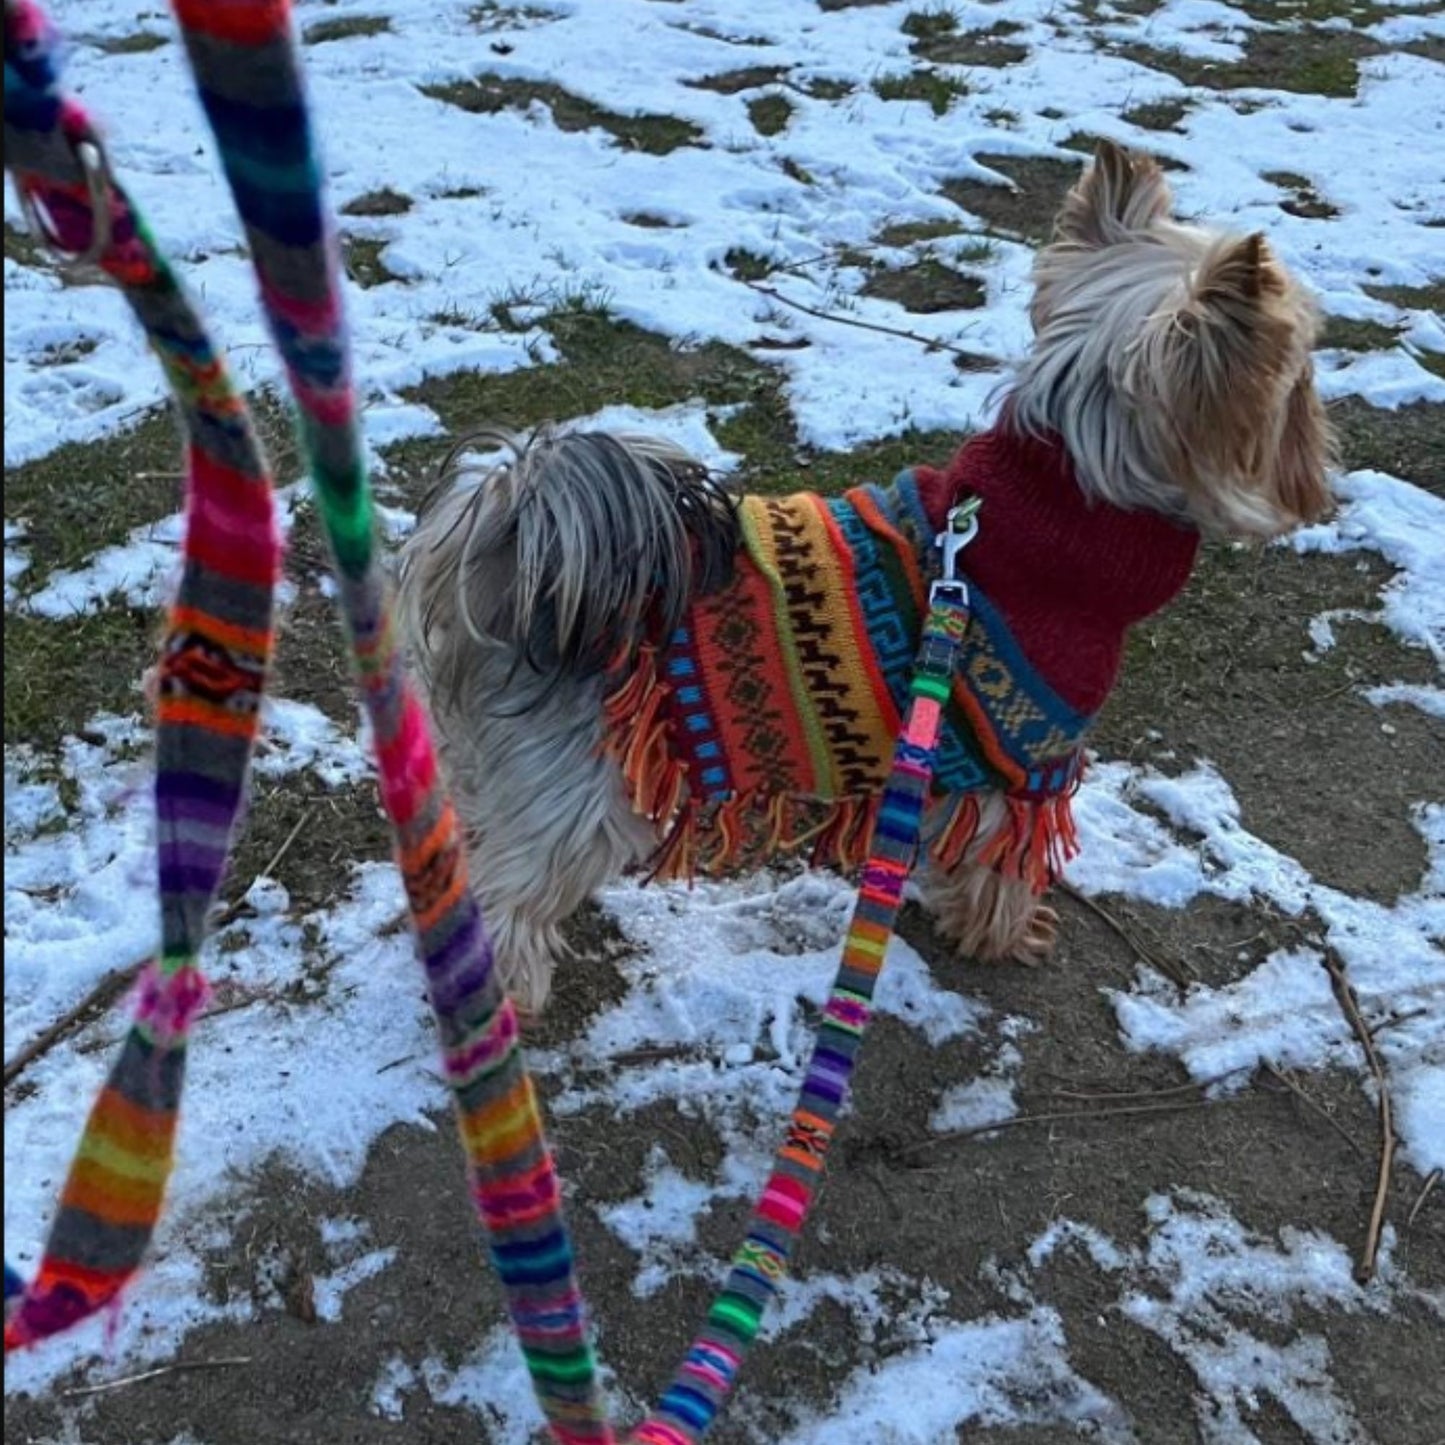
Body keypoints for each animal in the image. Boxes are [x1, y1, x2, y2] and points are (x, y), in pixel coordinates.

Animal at [395, 140, 1329, 1011]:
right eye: (1297, 384)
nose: (1318, 454)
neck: (1059, 496)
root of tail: (515, 566)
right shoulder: (1026, 755)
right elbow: (1001, 858)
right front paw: (1001, 932)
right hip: (580, 795)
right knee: (509, 901)